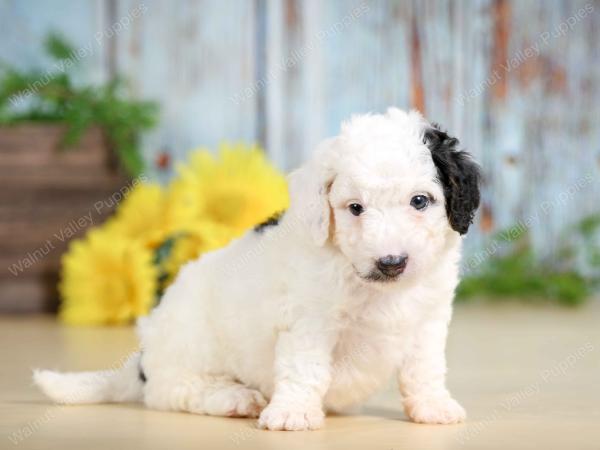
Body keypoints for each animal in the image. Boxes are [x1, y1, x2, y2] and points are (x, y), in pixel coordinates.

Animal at [35, 107, 480, 430]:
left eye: (420, 201)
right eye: (355, 208)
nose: (391, 262)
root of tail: (141, 363)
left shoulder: (428, 319)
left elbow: (424, 368)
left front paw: (433, 406)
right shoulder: (309, 322)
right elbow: (305, 368)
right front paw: (294, 413)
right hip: (189, 345)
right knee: (172, 390)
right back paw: (234, 398)